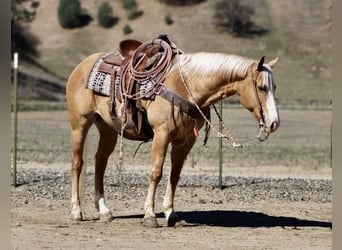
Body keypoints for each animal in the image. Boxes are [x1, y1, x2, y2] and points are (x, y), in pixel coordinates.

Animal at [67, 38, 280, 228]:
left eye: (274, 87)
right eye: (262, 87)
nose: (274, 123)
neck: (186, 86)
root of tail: (81, 66)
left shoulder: (186, 140)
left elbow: (175, 175)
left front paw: (171, 213)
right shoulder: (161, 134)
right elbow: (156, 173)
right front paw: (150, 215)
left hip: (108, 129)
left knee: (100, 162)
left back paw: (104, 211)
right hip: (80, 124)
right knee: (77, 163)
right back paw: (76, 212)